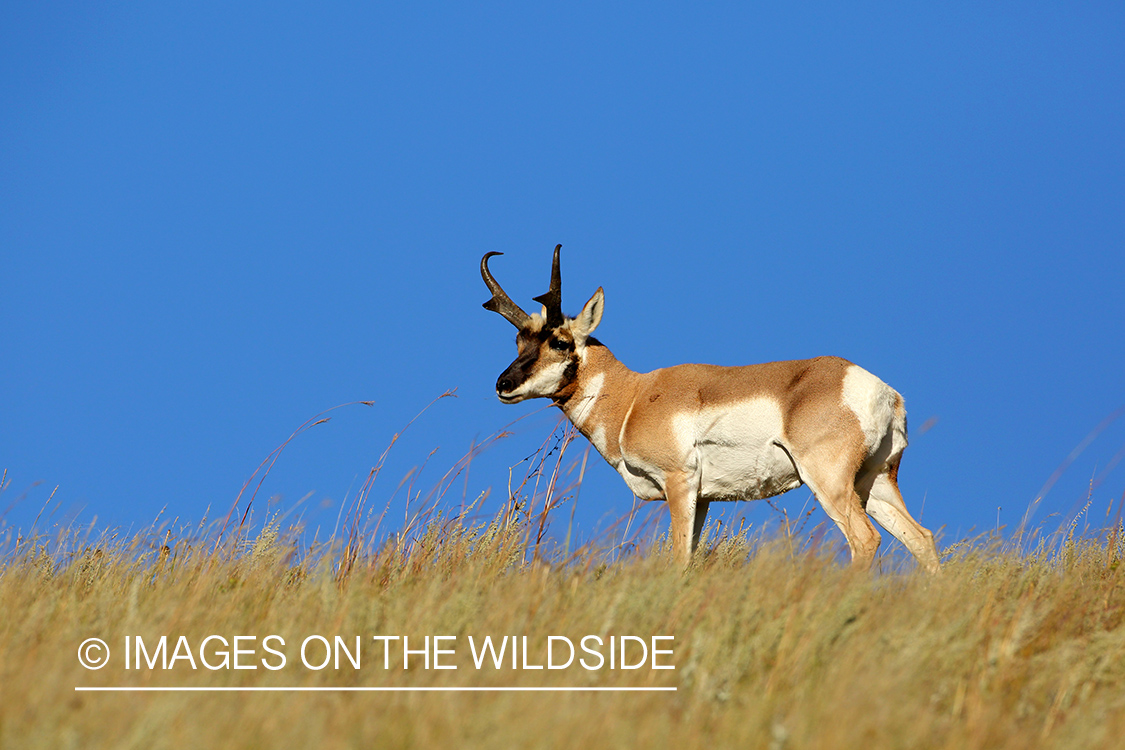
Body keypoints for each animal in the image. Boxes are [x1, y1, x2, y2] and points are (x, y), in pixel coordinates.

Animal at [480, 245, 941, 574]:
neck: (634, 394)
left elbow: (679, 559)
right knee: (922, 539)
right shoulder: (703, 499)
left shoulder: (679, 483)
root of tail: (881, 390)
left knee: (866, 541)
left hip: (830, 483)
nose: (503, 385)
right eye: (519, 342)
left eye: (560, 341)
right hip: (874, 483)